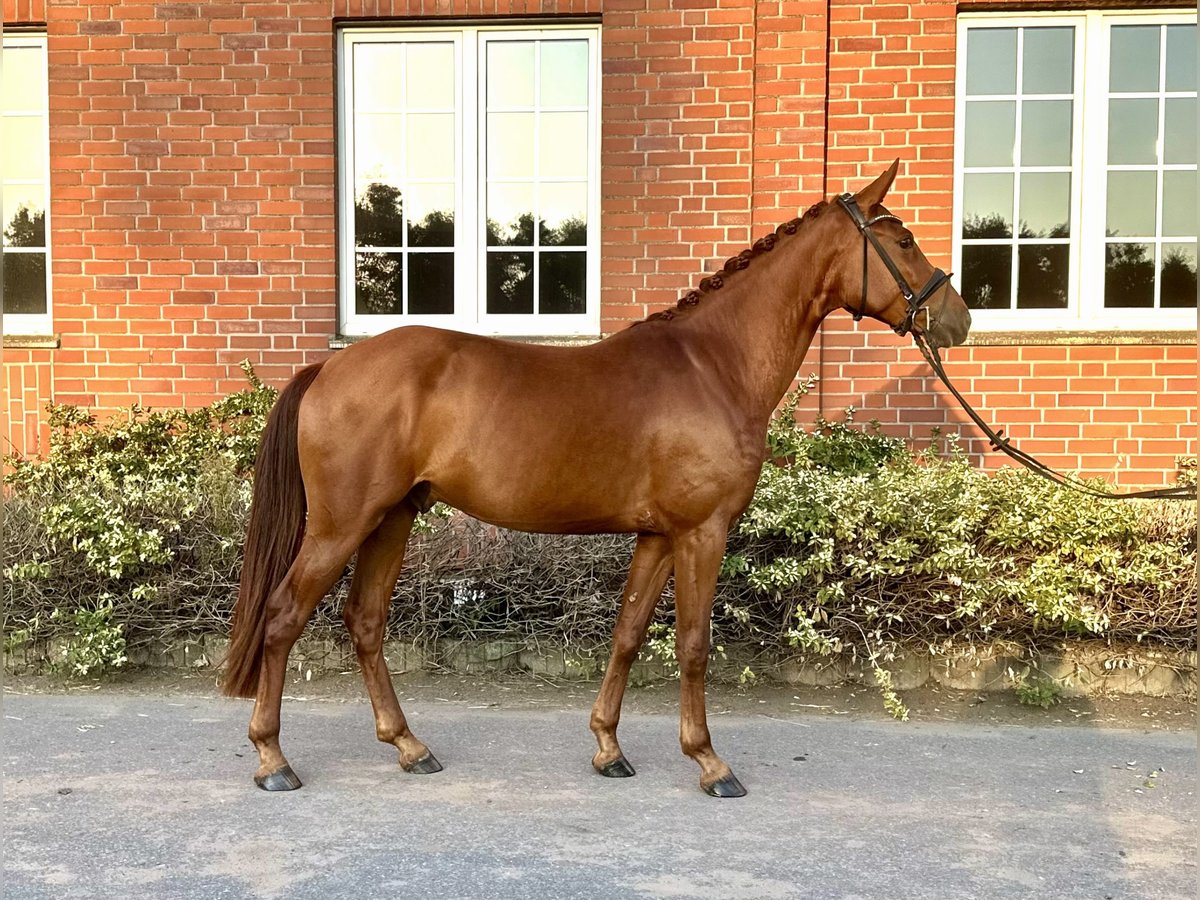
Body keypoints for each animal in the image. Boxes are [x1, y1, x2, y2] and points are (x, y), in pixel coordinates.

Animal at [225, 162, 974, 796]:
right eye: (903, 240)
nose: (959, 319)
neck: (714, 365)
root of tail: (330, 367)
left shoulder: (658, 536)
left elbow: (629, 635)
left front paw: (610, 749)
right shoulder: (703, 533)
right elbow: (693, 645)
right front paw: (710, 762)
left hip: (392, 518)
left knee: (365, 620)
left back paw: (410, 746)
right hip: (342, 524)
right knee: (282, 617)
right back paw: (272, 759)